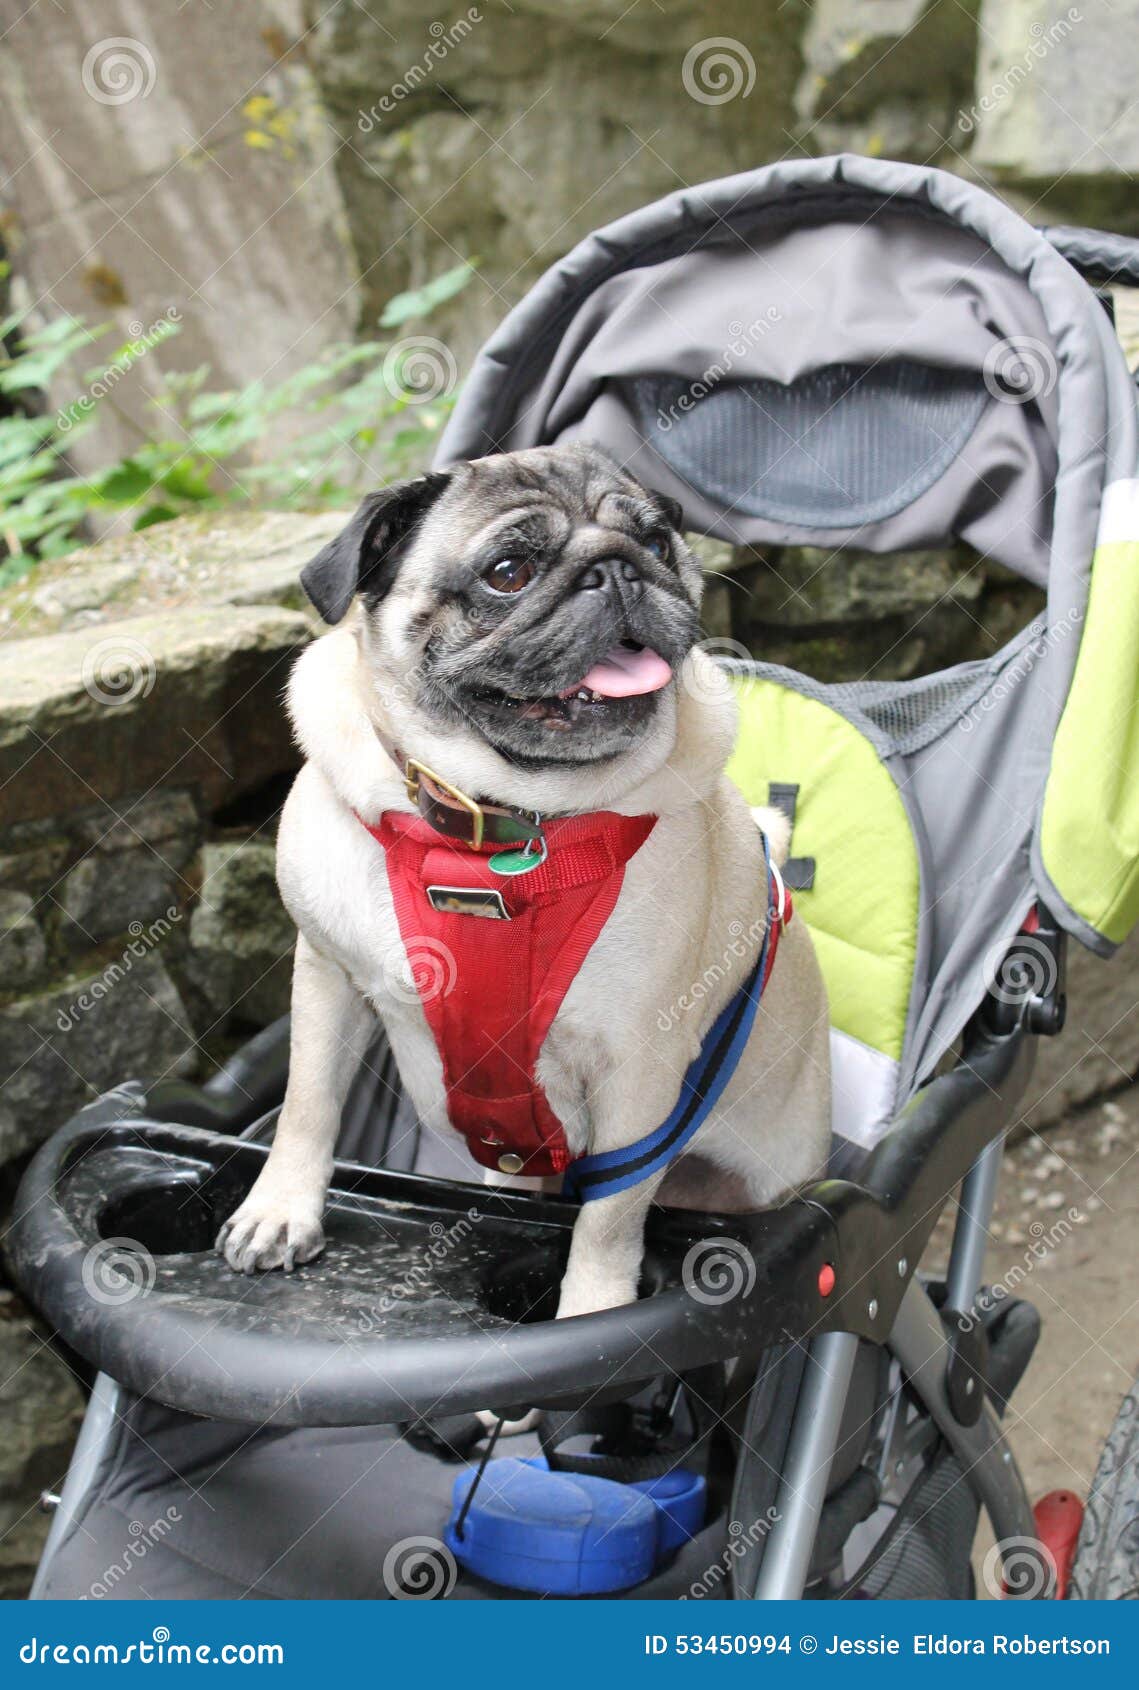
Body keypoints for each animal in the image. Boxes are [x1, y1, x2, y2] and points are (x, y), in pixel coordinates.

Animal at [215, 442, 824, 1311]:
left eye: (657, 540)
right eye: (509, 571)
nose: (616, 567)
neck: (497, 829)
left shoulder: (639, 1071)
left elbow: (609, 1218)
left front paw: (592, 1306)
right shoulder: (327, 976)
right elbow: (308, 1101)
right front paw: (280, 1210)